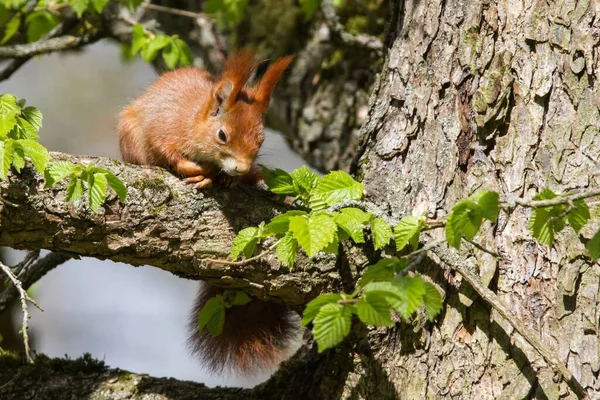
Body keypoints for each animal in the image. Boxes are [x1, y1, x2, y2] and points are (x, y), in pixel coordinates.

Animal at [116, 50, 296, 376]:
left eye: (261, 139)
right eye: (222, 135)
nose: (240, 167)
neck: (194, 119)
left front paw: (228, 178)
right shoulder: (164, 128)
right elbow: (167, 151)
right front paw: (196, 170)